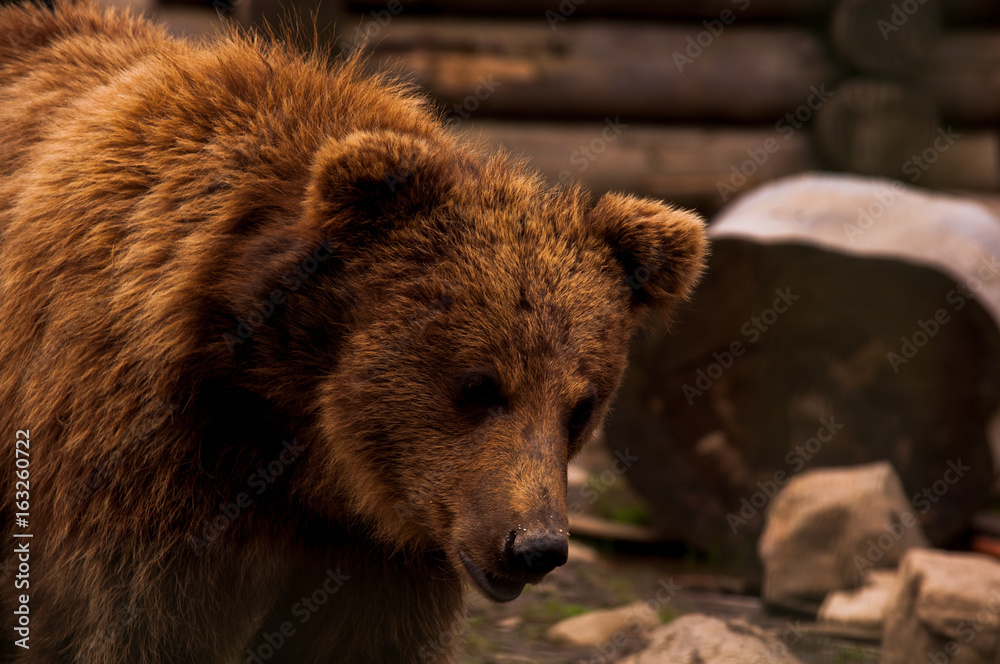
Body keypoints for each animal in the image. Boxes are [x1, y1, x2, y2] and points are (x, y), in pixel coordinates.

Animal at [0, 2, 704, 660]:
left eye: (581, 407)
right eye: (478, 385)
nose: (534, 545)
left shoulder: (378, 554)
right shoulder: (145, 465)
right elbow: (143, 625)